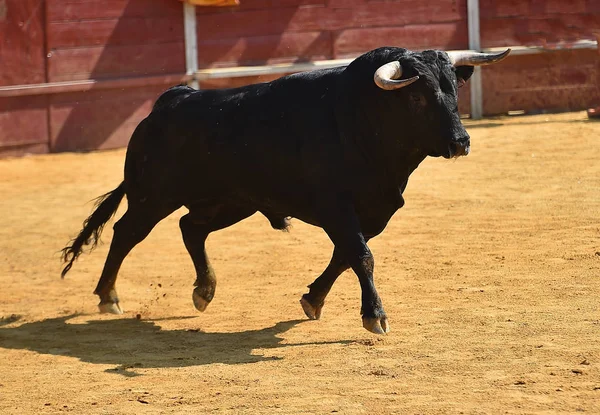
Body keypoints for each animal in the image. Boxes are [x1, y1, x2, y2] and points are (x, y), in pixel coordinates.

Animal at [62, 47, 510, 336]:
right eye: (416, 94)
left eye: (454, 89)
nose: (460, 142)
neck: (361, 120)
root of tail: (168, 101)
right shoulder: (337, 208)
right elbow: (361, 256)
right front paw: (375, 316)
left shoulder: (375, 211)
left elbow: (346, 256)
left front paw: (314, 300)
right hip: (152, 196)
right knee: (127, 233)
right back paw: (108, 296)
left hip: (231, 202)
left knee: (191, 227)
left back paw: (204, 290)